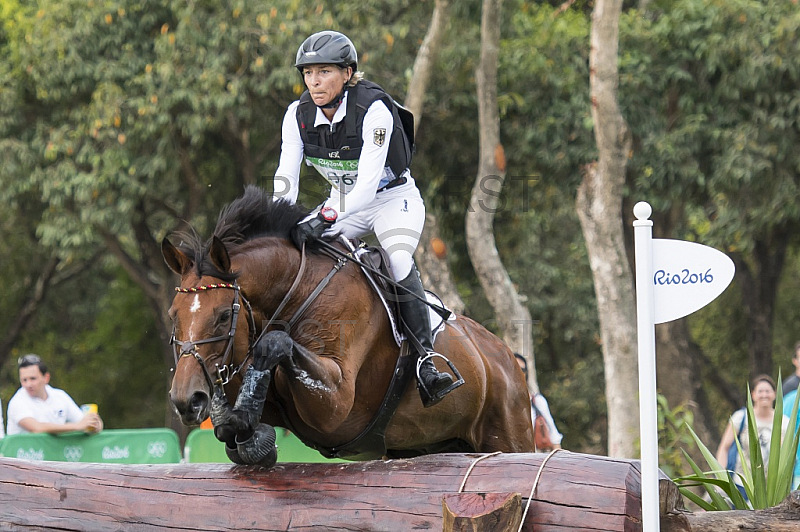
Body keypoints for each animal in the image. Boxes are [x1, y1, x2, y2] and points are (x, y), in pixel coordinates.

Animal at [162, 187, 536, 466]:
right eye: (173, 315)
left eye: (224, 315)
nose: (186, 400)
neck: (297, 290)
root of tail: (505, 358)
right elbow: (229, 428)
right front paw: (245, 429)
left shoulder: (336, 404)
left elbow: (276, 344)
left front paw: (247, 425)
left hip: (510, 436)